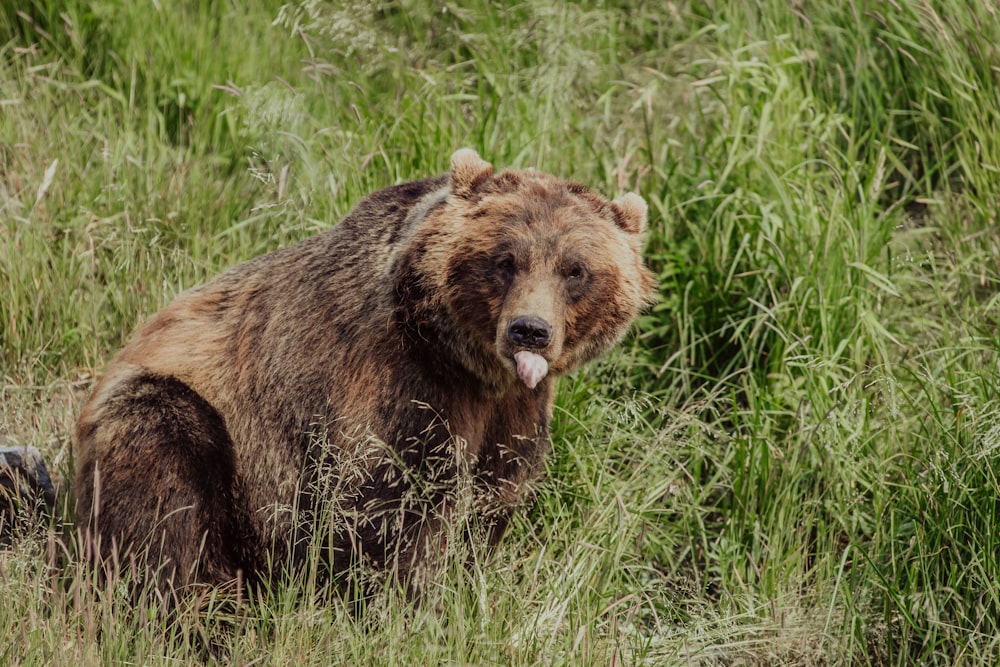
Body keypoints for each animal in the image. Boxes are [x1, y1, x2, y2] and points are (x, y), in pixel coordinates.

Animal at [76, 149, 656, 596]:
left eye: (575, 269)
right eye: (505, 259)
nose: (529, 330)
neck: (473, 369)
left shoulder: (514, 412)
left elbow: (493, 499)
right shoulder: (397, 386)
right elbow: (389, 510)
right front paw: (403, 603)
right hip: (193, 420)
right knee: (163, 489)